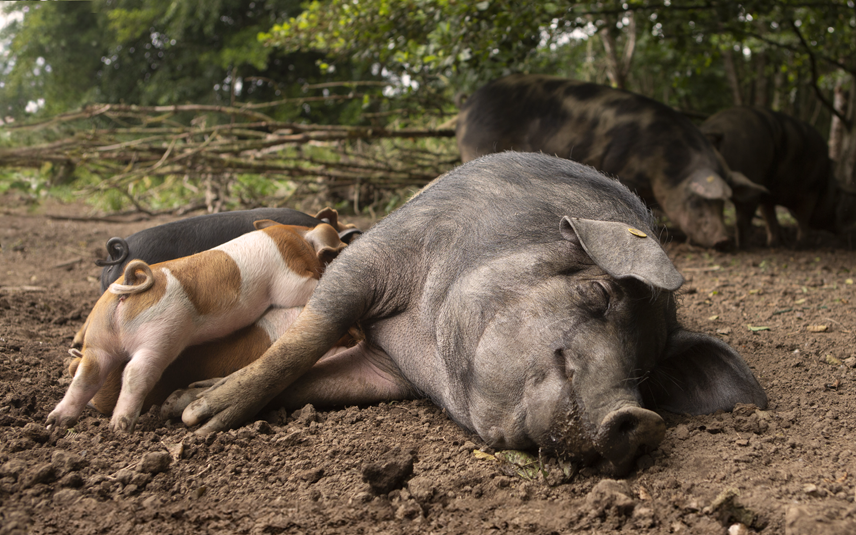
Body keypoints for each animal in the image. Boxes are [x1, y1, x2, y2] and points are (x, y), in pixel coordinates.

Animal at [167, 153, 768, 476]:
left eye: (645, 371)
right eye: (598, 293)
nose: (641, 419)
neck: (425, 345)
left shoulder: (389, 373)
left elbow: (315, 383)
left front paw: (184, 406)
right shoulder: (377, 259)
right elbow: (306, 341)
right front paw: (197, 418)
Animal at [700, 105, 852, 248]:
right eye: (837, 200)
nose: (847, 232)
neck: (827, 179)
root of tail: (715, 131)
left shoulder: (767, 194)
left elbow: (770, 217)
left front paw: (773, 244)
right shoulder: (810, 190)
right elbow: (803, 218)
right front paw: (799, 246)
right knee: (742, 217)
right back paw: (744, 246)